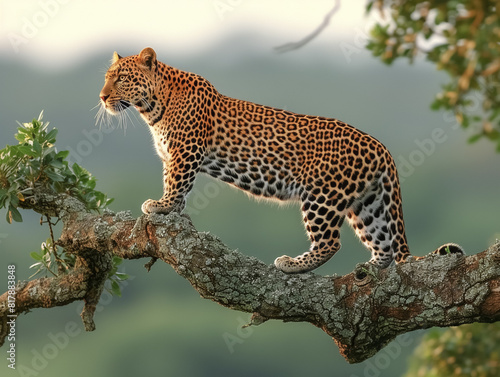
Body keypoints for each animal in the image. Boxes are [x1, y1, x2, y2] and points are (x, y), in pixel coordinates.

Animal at [98, 47, 464, 272]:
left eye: (121, 78)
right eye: (106, 76)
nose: (102, 97)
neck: (152, 107)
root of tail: (380, 146)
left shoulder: (185, 153)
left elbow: (176, 184)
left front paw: (161, 205)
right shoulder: (174, 157)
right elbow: (177, 188)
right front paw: (172, 210)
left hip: (322, 196)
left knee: (331, 242)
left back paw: (292, 264)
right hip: (367, 203)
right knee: (385, 246)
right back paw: (369, 268)